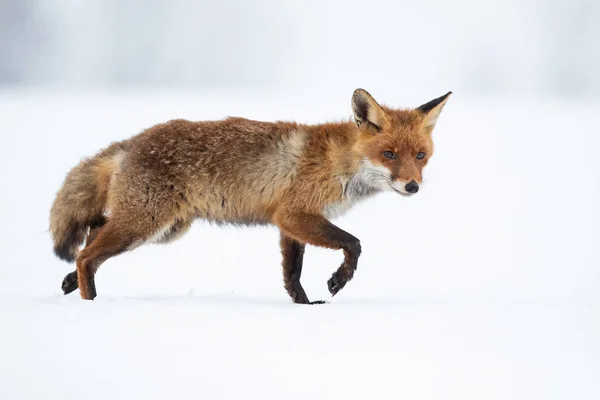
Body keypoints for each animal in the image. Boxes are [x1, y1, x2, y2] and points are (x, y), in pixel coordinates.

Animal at [50, 88, 450, 304]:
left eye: (420, 156)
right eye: (389, 155)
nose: (412, 186)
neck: (340, 162)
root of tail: (131, 142)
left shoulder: (288, 223)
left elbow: (292, 275)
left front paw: (305, 307)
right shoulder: (294, 214)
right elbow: (353, 243)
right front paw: (338, 280)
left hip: (165, 229)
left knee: (93, 232)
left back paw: (71, 282)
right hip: (145, 224)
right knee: (86, 254)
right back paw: (90, 301)